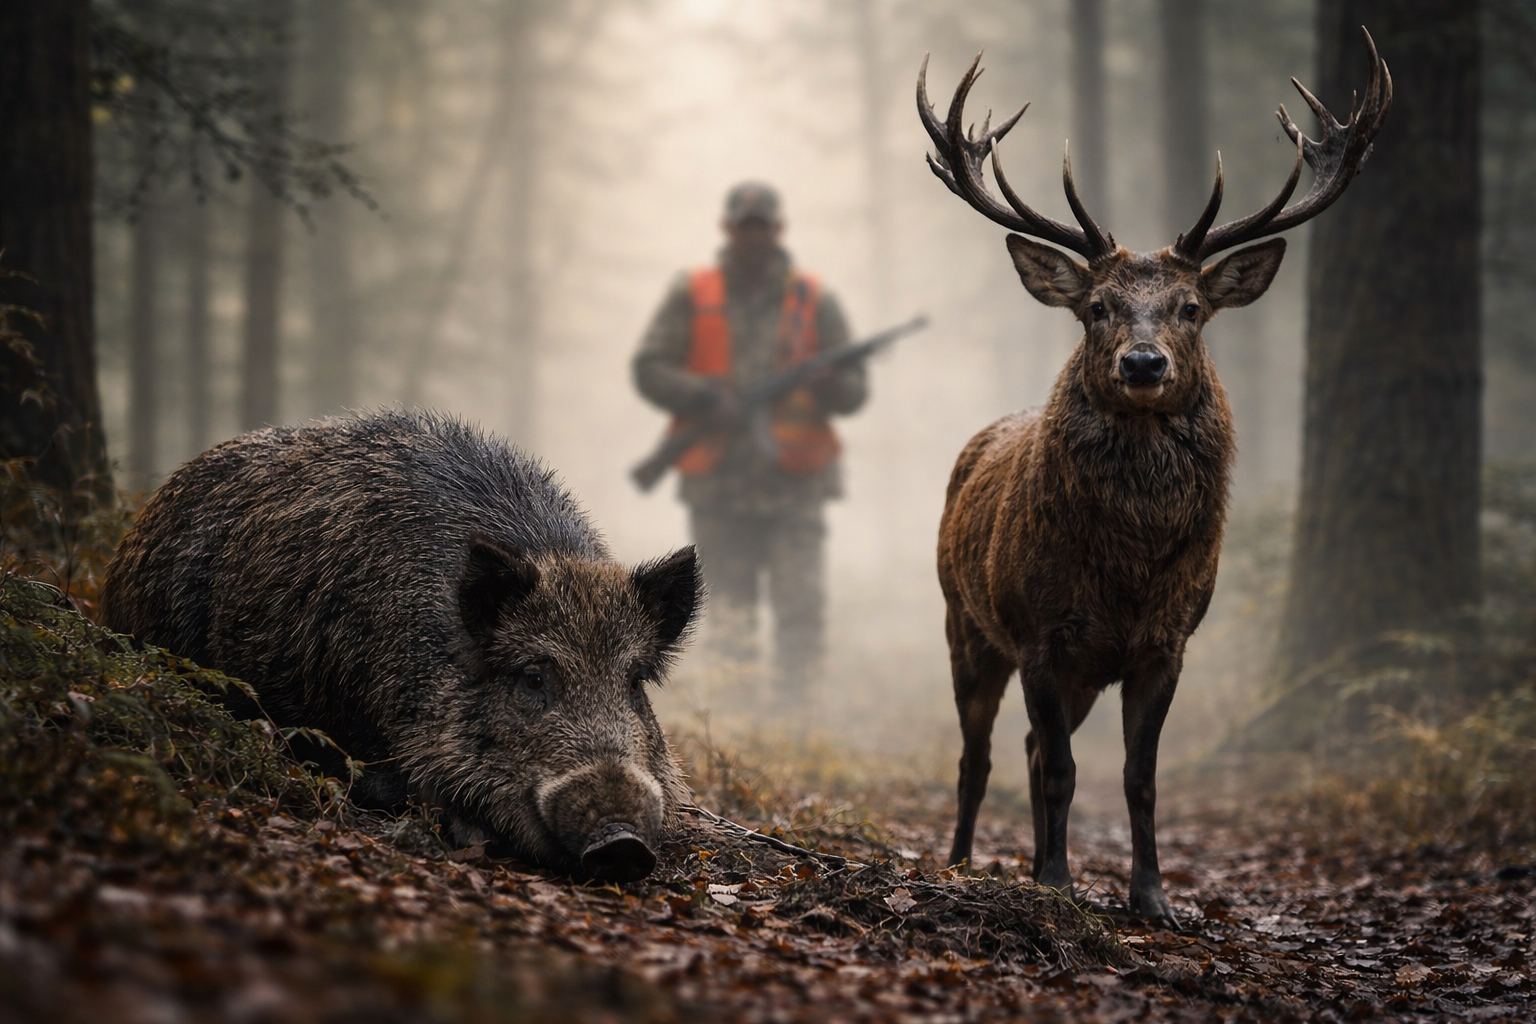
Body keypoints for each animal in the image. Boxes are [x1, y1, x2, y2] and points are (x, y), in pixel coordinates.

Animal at [918, 29, 1391, 924]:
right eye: (1097, 307)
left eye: (1191, 308)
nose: (1144, 363)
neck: (1129, 570)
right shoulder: (1040, 632)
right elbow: (1062, 770)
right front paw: (1059, 886)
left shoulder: (1167, 643)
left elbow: (1138, 778)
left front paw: (1151, 899)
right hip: (966, 623)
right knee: (979, 756)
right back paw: (961, 863)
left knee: (1025, 748)